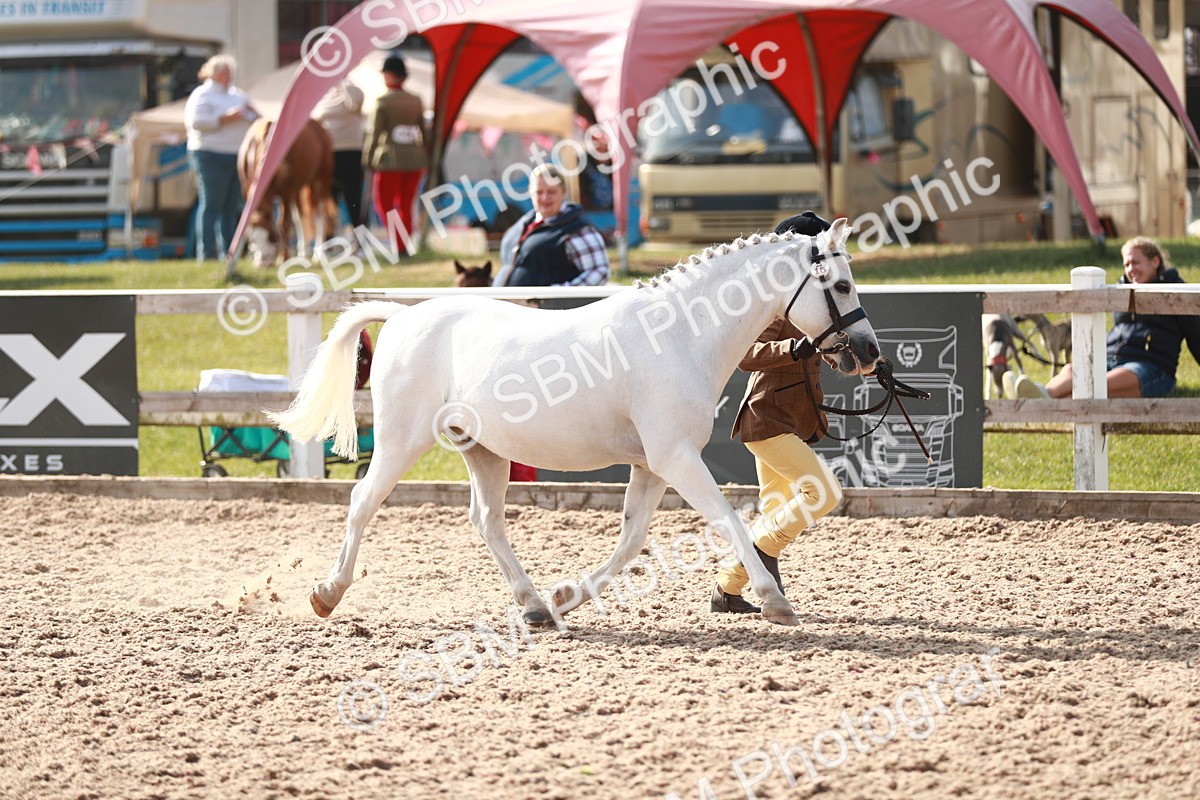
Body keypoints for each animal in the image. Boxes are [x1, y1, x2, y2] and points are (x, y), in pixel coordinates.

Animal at [238, 117, 338, 268]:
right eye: (251, 239)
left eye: (270, 236)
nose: (262, 263)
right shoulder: (246, 189)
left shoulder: (286, 191)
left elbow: (283, 224)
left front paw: (283, 258)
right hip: (298, 189)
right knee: (300, 218)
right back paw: (303, 253)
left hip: (320, 180)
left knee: (320, 215)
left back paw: (319, 254)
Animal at [269, 219, 880, 627]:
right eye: (842, 286)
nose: (869, 353)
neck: (680, 333)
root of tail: (401, 315)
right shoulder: (676, 457)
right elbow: (728, 520)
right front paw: (775, 601)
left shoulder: (651, 465)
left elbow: (631, 541)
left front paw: (567, 597)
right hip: (402, 441)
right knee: (362, 502)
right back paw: (327, 593)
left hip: (483, 450)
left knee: (487, 521)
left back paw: (536, 606)